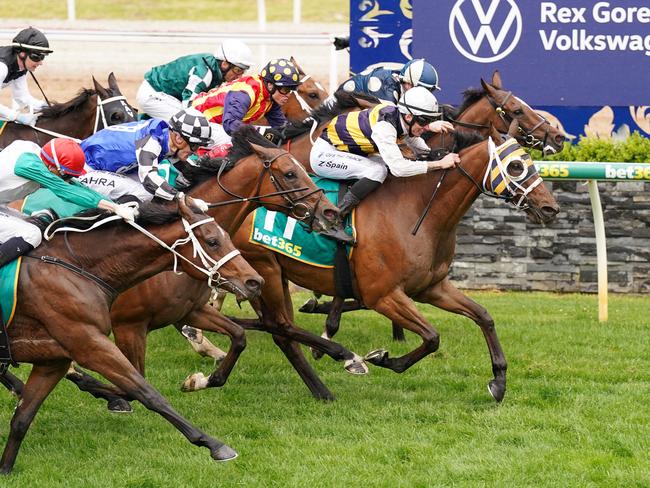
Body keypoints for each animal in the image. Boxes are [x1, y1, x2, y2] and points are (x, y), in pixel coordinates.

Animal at [0, 194, 264, 472]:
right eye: (212, 241)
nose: (255, 282)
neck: (75, 269)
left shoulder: (53, 360)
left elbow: (22, 418)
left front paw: (5, 469)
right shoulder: (95, 341)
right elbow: (146, 391)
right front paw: (214, 445)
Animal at [211, 123, 556, 404]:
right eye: (515, 166)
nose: (550, 207)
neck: (416, 211)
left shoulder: (432, 287)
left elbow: (484, 317)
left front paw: (498, 381)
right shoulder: (383, 295)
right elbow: (432, 336)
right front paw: (383, 359)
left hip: (274, 275)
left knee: (281, 329)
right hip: (264, 270)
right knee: (280, 329)